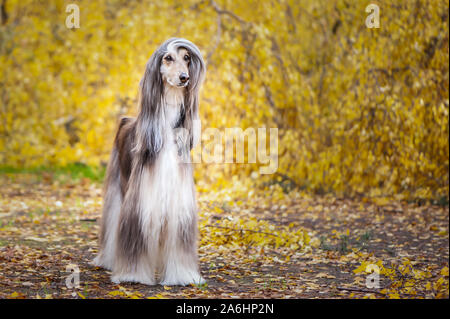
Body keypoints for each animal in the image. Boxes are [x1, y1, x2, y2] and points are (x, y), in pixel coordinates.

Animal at [93, 38, 206, 286]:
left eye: (187, 58)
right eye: (168, 58)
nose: (184, 78)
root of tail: (126, 120)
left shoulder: (179, 205)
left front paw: (182, 276)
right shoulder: (140, 201)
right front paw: (132, 274)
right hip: (117, 186)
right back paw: (108, 260)